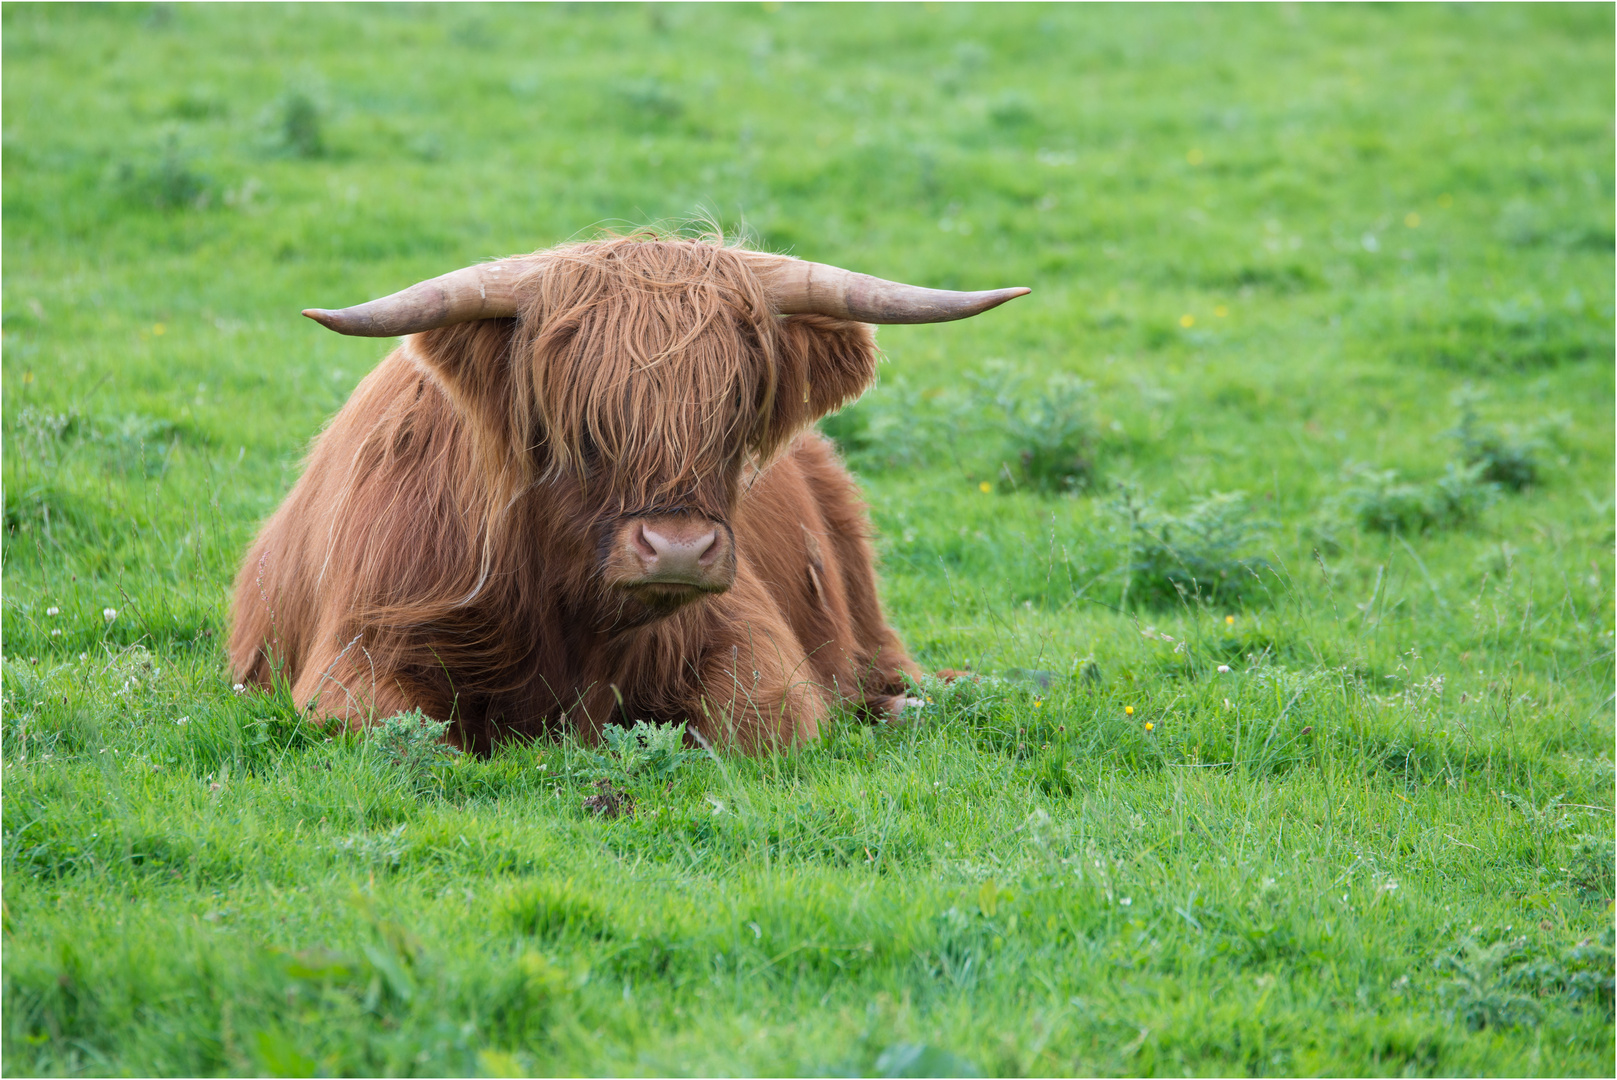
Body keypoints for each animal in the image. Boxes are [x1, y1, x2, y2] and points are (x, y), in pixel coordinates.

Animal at [231, 234, 1021, 750]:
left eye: (734, 416)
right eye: (580, 426)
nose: (677, 550)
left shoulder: (755, 653)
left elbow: (749, 724)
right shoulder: (361, 649)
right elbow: (396, 731)